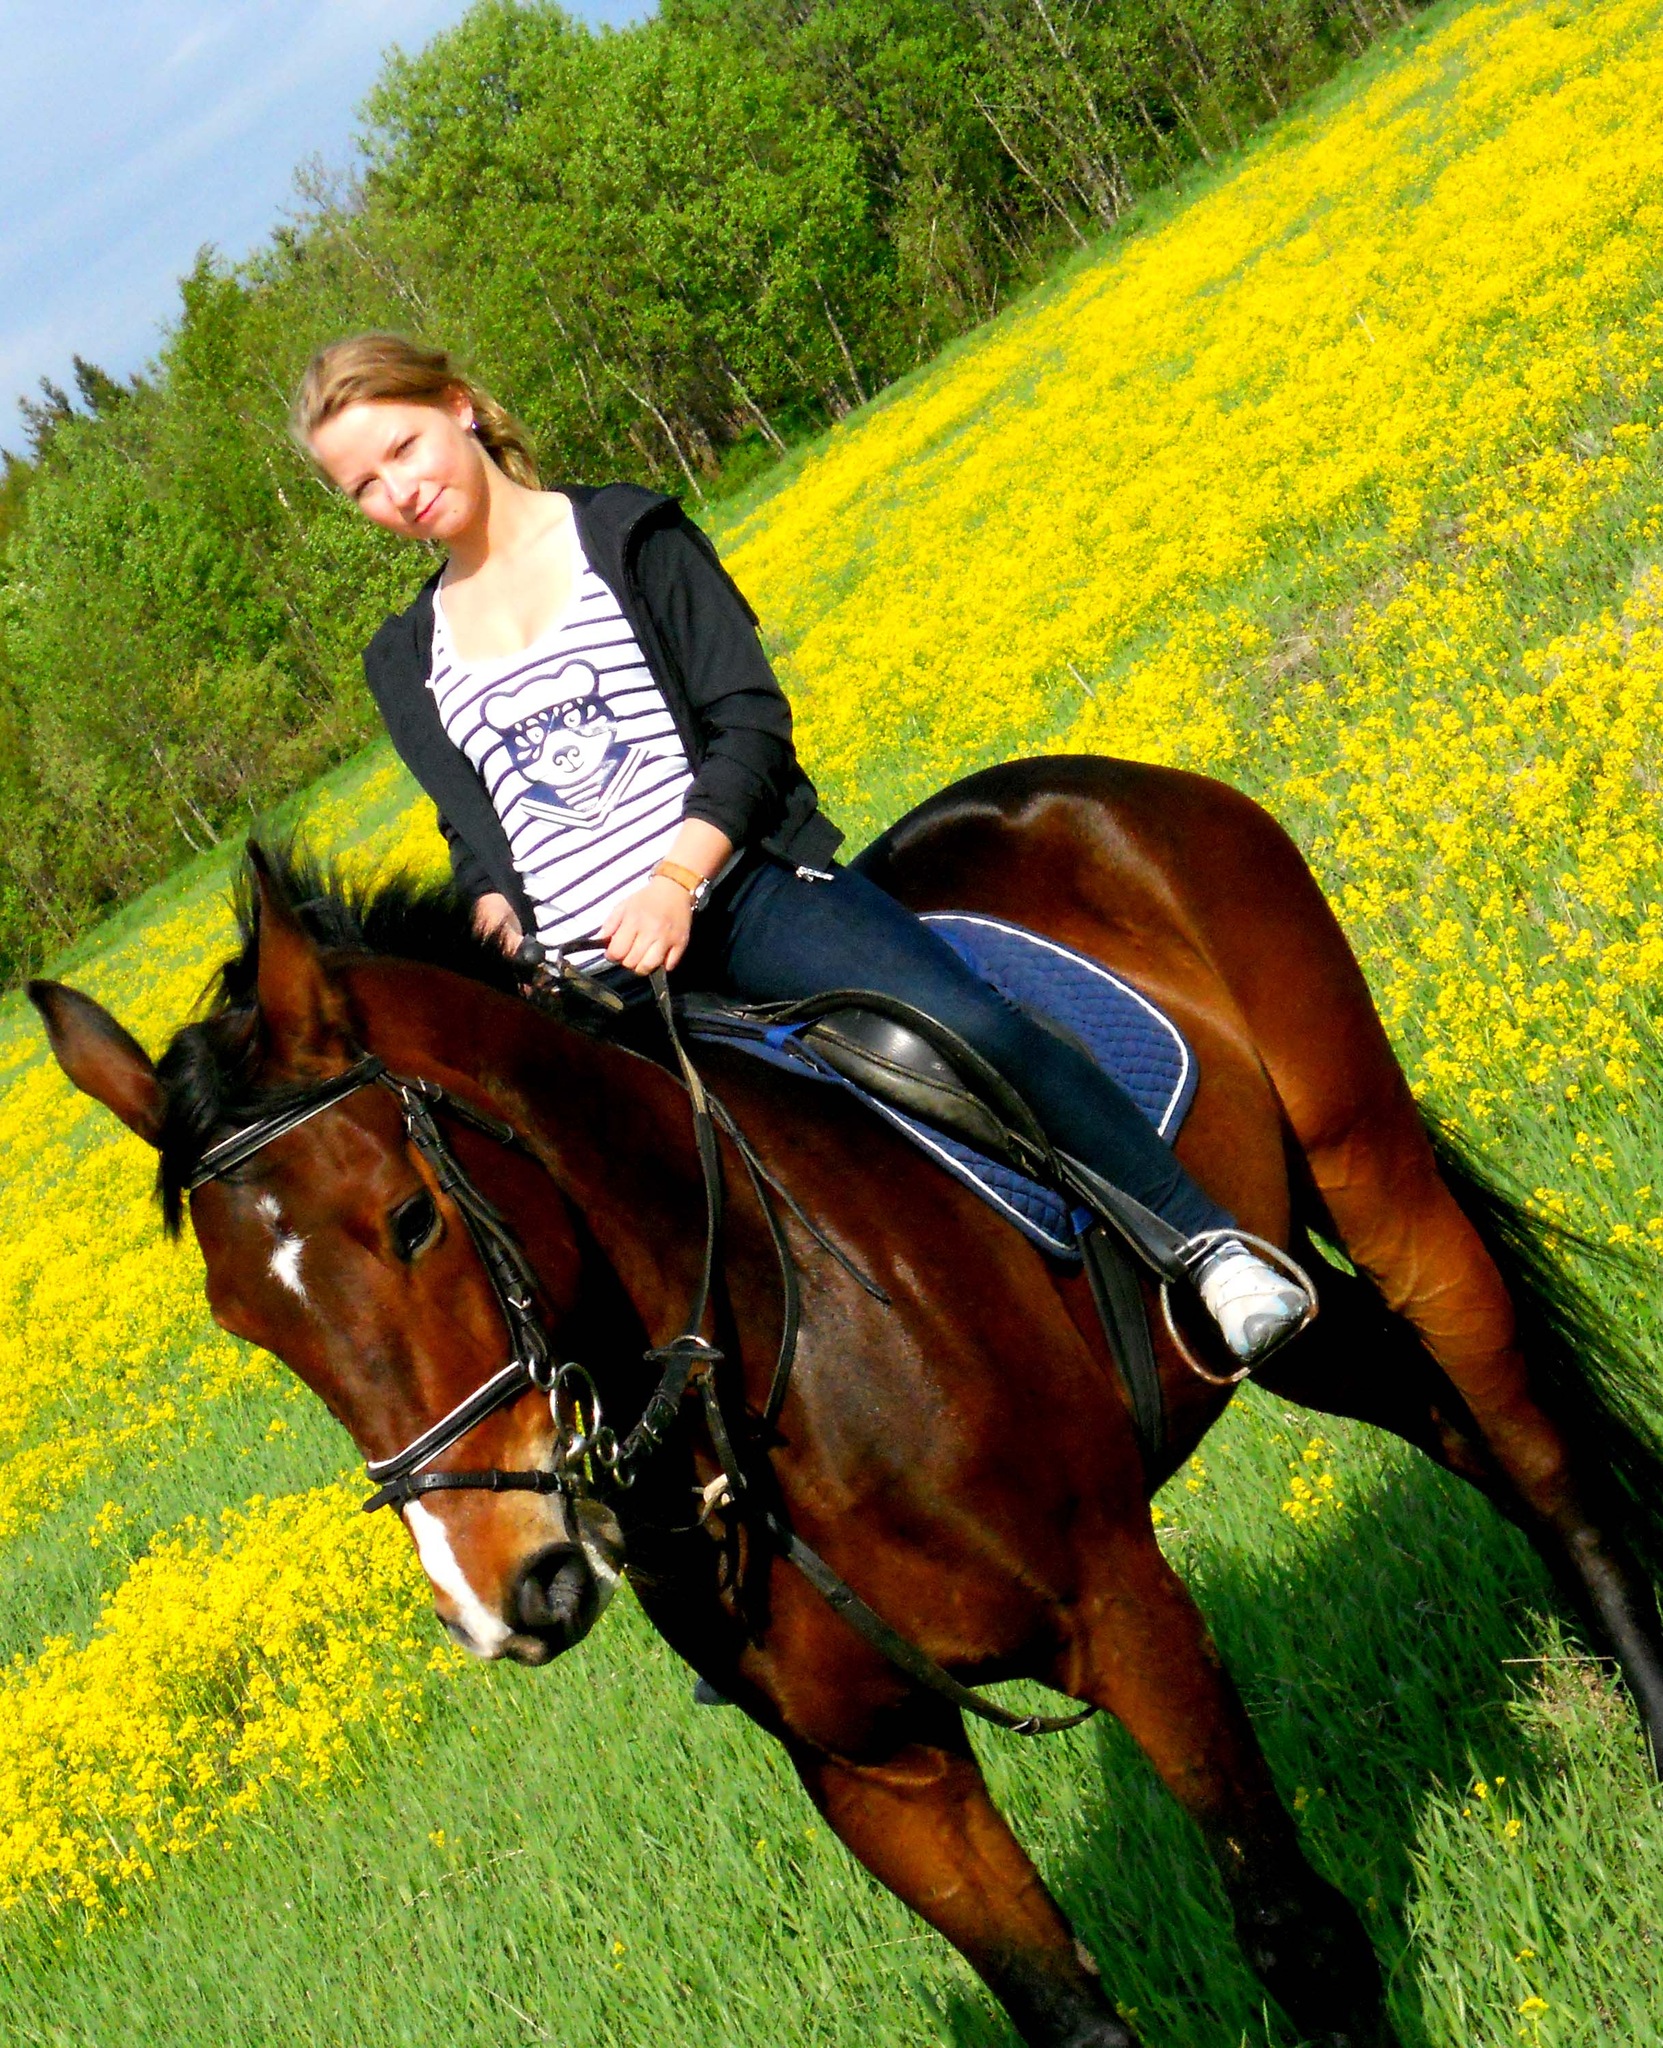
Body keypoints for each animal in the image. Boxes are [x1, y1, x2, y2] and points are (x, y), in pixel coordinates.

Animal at [30, 755, 1663, 2048]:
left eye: (410, 1219)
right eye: (244, 1323)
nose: (506, 1596)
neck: (765, 1361)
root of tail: (1097, 785)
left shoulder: (1126, 1613)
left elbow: (1297, 1936)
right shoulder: (874, 1768)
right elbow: (1066, 2015)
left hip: (1371, 1171)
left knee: (1536, 1449)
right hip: (1270, 1319)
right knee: (1444, 1417)